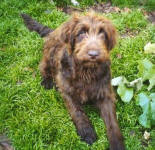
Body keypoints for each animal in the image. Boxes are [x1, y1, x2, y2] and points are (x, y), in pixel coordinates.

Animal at [20, 12, 124, 150]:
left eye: (103, 33)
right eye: (81, 33)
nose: (94, 54)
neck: (86, 70)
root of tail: (53, 31)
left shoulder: (105, 94)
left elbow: (112, 121)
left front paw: (117, 144)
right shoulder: (67, 91)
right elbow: (77, 112)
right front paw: (87, 132)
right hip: (49, 53)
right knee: (43, 66)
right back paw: (47, 81)